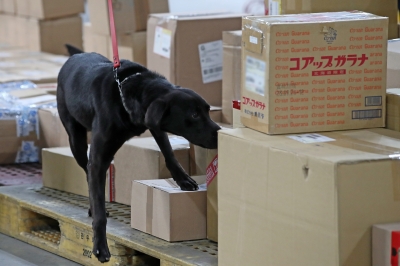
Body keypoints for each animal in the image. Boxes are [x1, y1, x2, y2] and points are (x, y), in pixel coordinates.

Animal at [56, 45, 220, 262]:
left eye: (208, 111)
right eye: (194, 115)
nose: (220, 133)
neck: (129, 90)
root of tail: (76, 56)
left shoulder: (153, 122)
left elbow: (169, 152)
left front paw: (183, 178)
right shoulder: (98, 159)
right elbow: (99, 211)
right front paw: (100, 246)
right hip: (76, 139)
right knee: (86, 172)